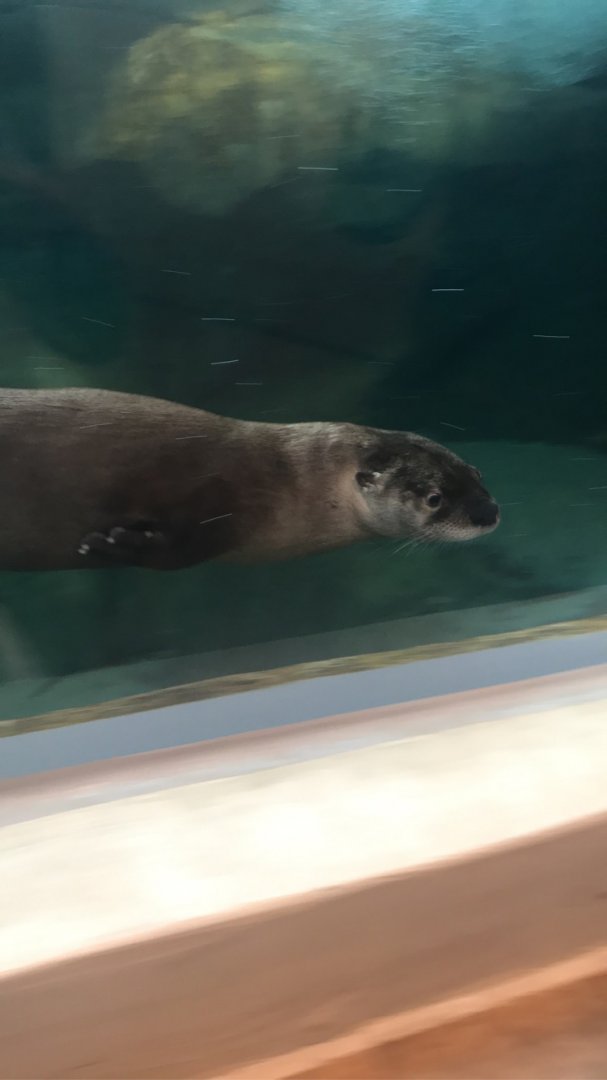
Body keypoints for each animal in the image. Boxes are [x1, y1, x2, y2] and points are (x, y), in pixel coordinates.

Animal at [0, 388, 499, 571]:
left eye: (476, 474)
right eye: (435, 498)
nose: (488, 513)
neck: (286, 482)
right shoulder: (216, 500)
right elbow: (175, 555)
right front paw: (111, 545)